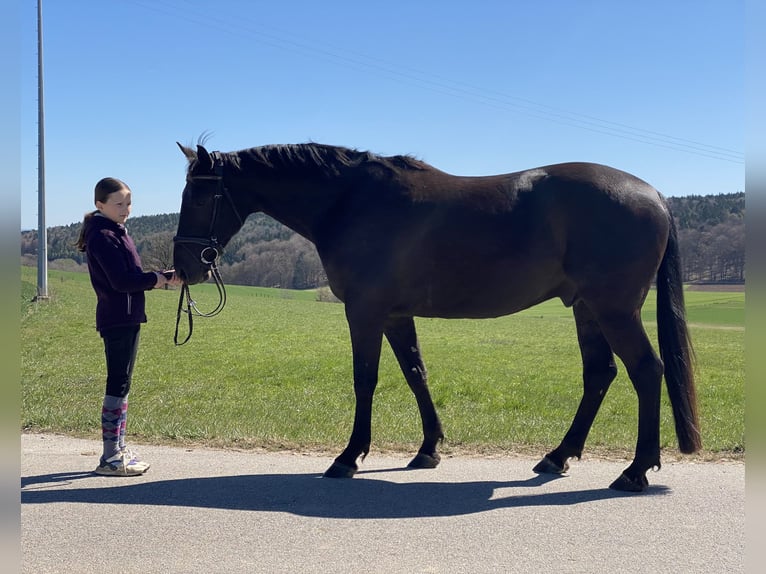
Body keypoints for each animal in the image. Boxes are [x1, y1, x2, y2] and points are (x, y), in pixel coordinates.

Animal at [172, 142, 701, 492]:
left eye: (198, 196)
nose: (184, 267)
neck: (352, 200)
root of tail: (654, 195)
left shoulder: (364, 311)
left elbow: (365, 379)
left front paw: (349, 456)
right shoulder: (394, 315)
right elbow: (415, 373)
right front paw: (429, 449)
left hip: (614, 309)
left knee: (645, 371)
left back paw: (635, 470)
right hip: (587, 308)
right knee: (600, 374)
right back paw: (558, 456)